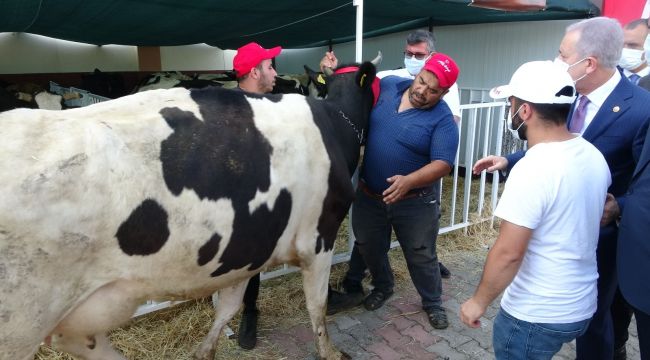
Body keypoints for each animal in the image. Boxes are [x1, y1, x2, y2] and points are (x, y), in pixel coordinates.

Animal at [0, 57, 378, 358]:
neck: (335, 124)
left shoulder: (246, 249)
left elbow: (228, 307)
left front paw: (204, 351)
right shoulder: (319, 238)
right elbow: (317, 305)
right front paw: (331, 352)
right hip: (22, 323)